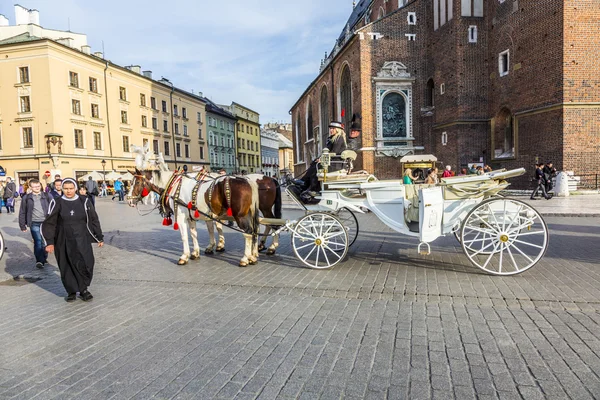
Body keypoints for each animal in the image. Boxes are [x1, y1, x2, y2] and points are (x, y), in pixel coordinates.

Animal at [129, 167, 260, 268]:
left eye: (137, 183)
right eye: (130, 183)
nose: (129, 200)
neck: (173, 185)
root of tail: (248, 181)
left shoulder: (181, 217)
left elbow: (184, 236)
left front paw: (184, 256)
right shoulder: (191, 217)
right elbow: (193, 234)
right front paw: (195, 253)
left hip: (240, 216)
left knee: (248, 233)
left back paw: (245, 258)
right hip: (249, 214)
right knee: (254, 231)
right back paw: (252, 257)